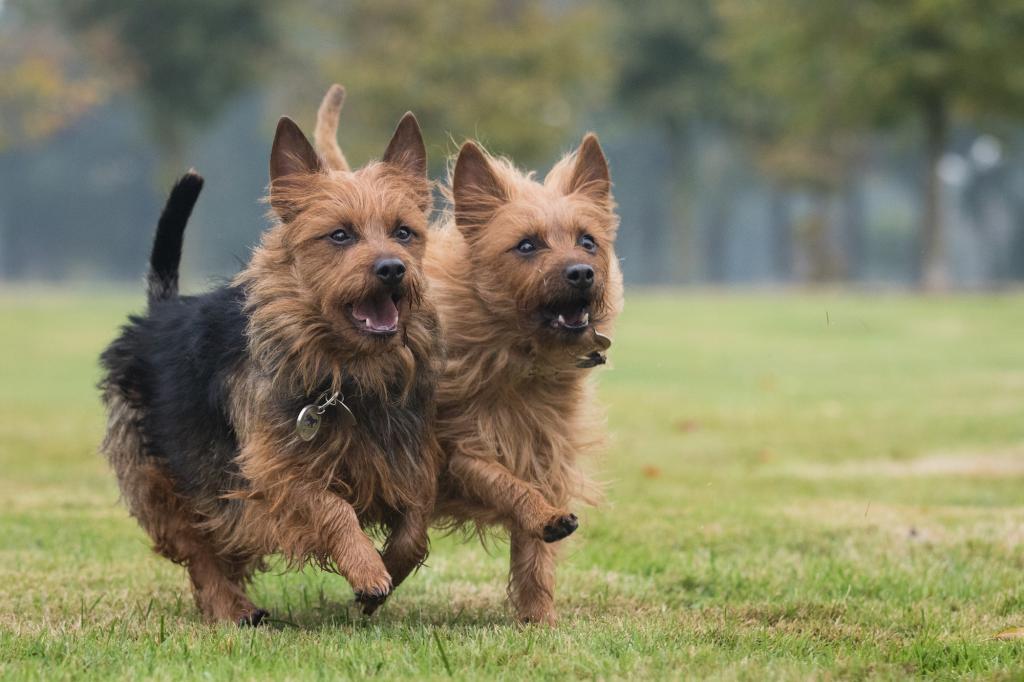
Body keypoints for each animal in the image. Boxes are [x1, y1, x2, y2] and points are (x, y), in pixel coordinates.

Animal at [96, 109, 444, 622]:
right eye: (340, 234)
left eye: (404, 232)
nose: (392, 268)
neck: (344, 371)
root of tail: (160, 310)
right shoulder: (273, 469)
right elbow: (330, 505)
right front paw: (365, 567)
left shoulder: (406, 459)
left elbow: (416, 521)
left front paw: (387, 572)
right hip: (162, 479)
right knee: (197, 547)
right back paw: (231, 607)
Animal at [315, 87, 618, 622]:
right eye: (526, 245)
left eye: (588, 241)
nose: (583, 272)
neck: (518, 361)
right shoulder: (452, 448)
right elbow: (495, 478)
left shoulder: (544, 452)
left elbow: (535, 555)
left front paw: (540, 618)